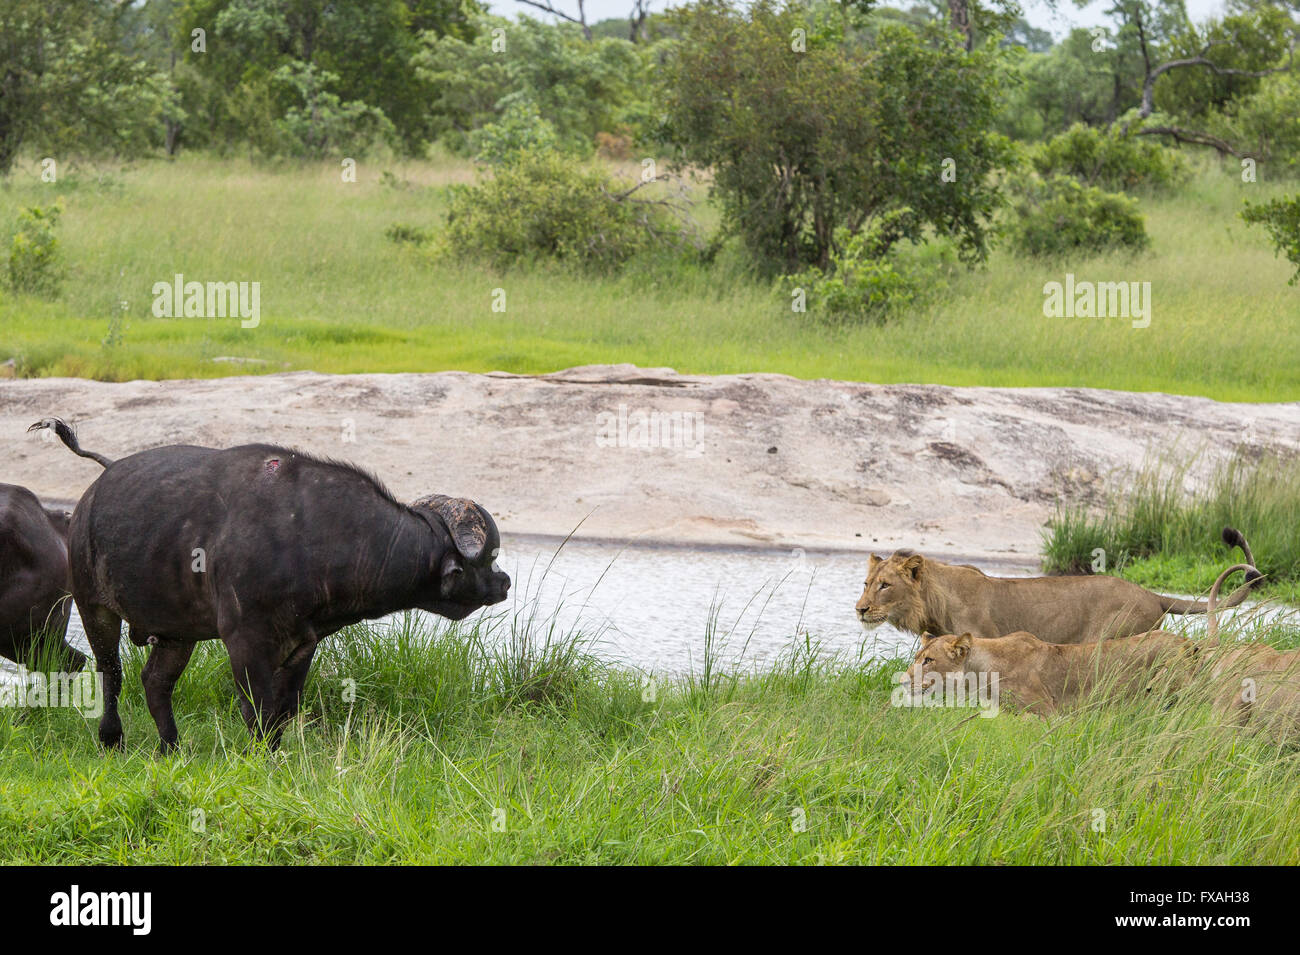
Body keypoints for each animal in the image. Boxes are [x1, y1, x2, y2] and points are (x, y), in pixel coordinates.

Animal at [32, 418, 509, 753]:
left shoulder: (303, 644)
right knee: (111, 673)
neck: (314, 535)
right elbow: (256, 708)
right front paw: (261, 755)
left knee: (155, 681)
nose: (504, 582)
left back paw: (171, 747)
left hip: (177, 632)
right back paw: (112, 739)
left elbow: (283, 709)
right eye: (489, 558)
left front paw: (276, 752)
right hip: (94, 606)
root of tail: (97, 486)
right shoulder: (245, 641)